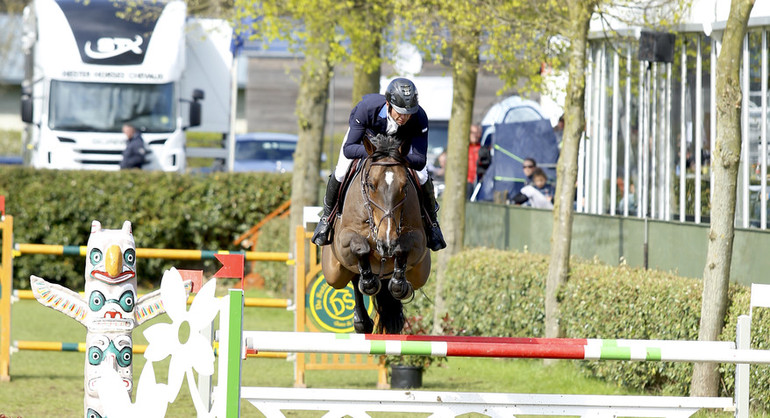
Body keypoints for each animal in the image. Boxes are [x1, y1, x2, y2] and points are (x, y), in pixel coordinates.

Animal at [320, 134, 432, 334]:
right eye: (371, 185)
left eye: (404, 186)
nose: (387, 242)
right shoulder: (343, 239)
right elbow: (361, 249)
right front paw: (370, 283)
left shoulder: (418, 240)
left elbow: (402, 249)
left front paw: (399, 285)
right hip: (334, 273)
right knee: (353, 277)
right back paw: (362, 319)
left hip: (420, 272)